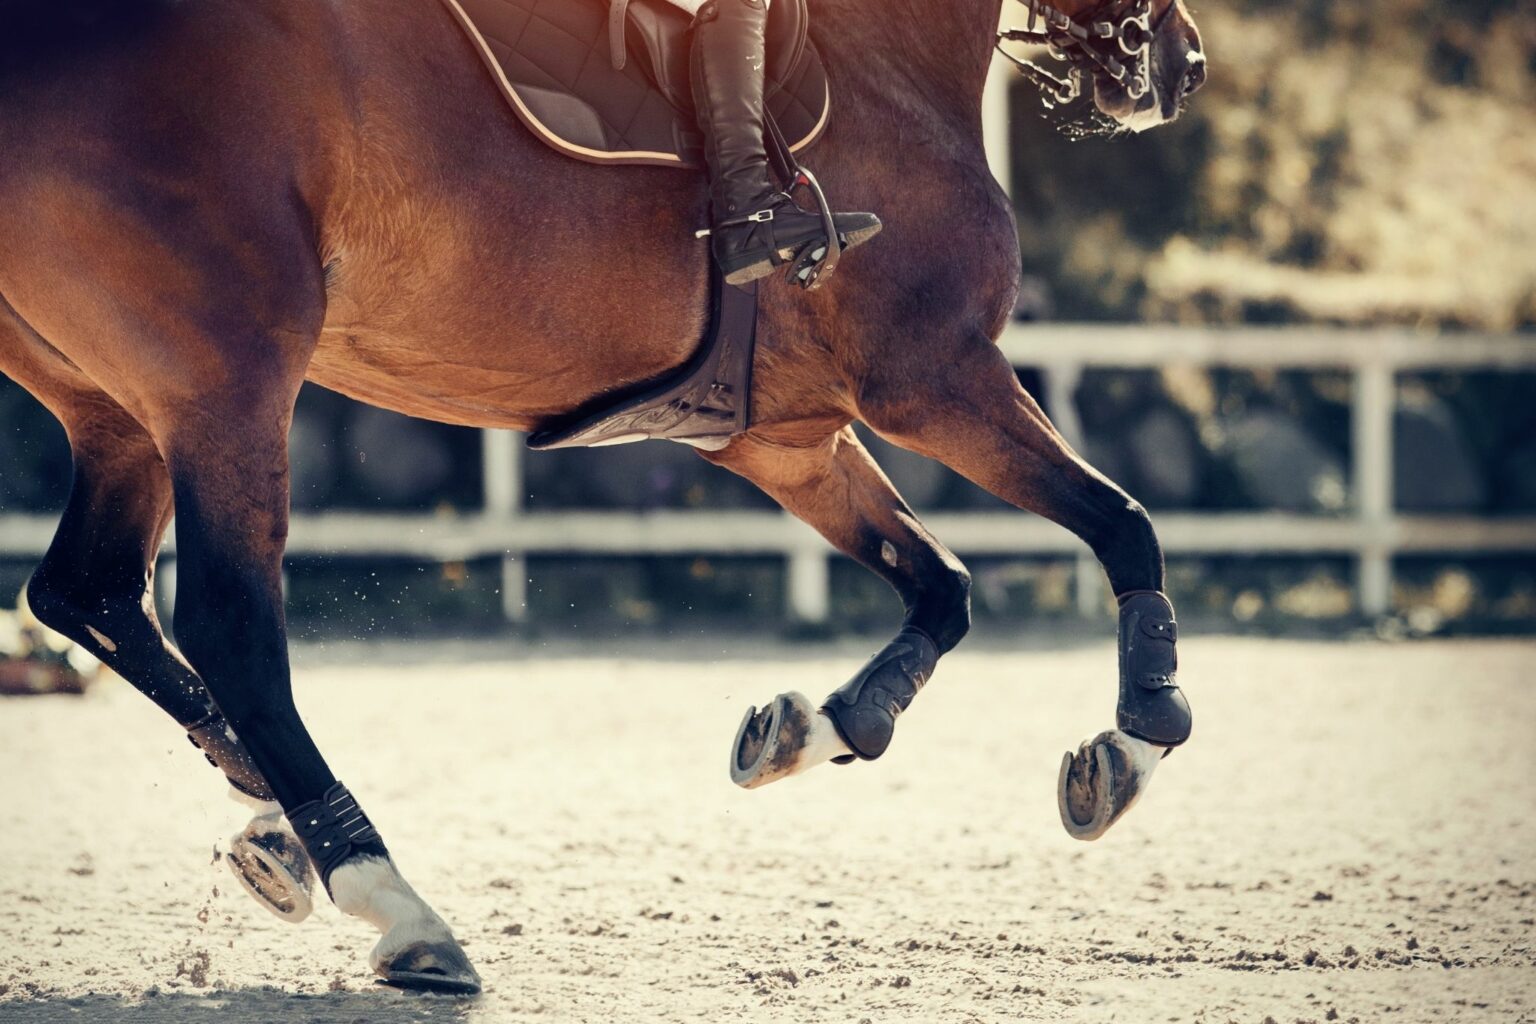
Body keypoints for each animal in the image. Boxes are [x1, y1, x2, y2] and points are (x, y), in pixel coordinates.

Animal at [0, 0, 1205, 995]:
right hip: (228, 380)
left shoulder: (782, 438)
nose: (1181, 63)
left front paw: (820, 724)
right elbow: (1124, 524)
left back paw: (273, 817)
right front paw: (1136, 740)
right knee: (228, 627)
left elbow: (942, 585)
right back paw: (394, 900)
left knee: (86, 594)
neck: (885, 69)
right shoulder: (937, 378)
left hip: (119, 407)